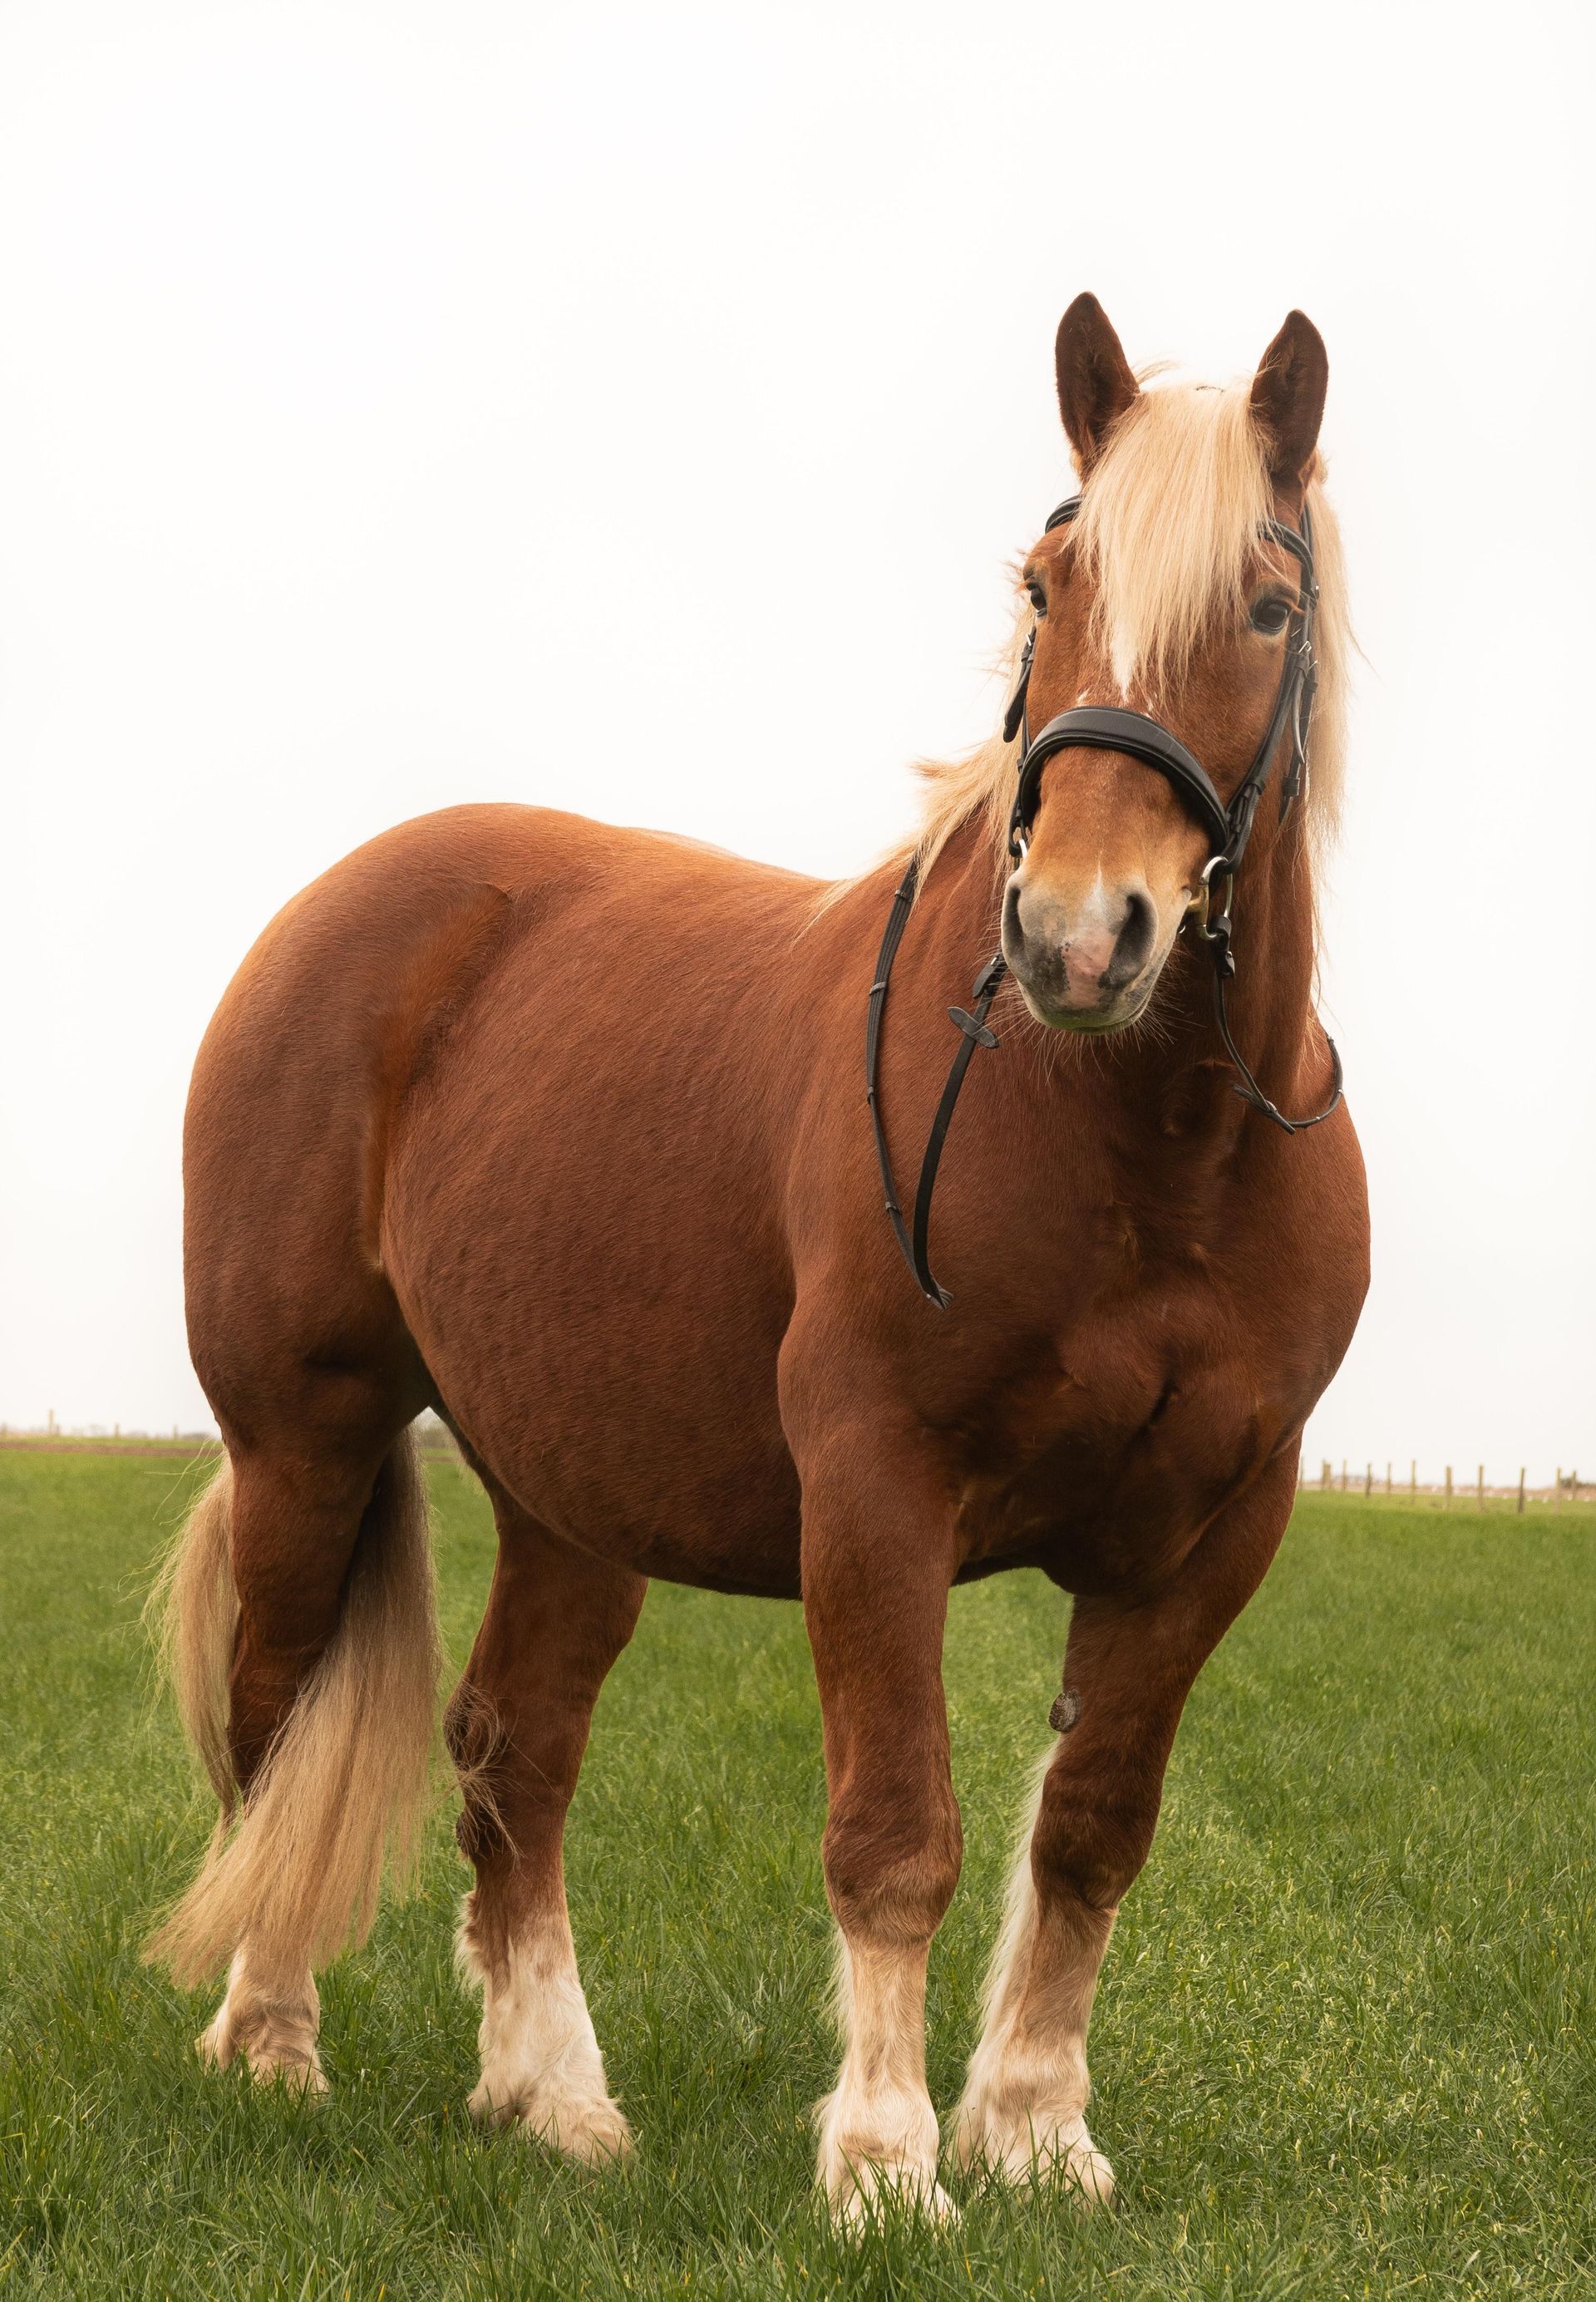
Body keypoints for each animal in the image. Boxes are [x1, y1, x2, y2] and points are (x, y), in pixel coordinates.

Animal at [148, 292, 1368, 2222]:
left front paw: (1034, 2131)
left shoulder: (1211, 1534)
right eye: (1047, 583)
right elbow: (896, 1829)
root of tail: (348, 906)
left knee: (513, 1750)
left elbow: (1094, 1827)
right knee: (274, 1724)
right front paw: (883, 2161)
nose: (1076, 935)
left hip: (567, 1500)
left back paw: (554, 2098)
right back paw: (270, 2039)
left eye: (1261, 603)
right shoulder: (875, 1486)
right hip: (305, 1438)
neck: (1154, 1153)